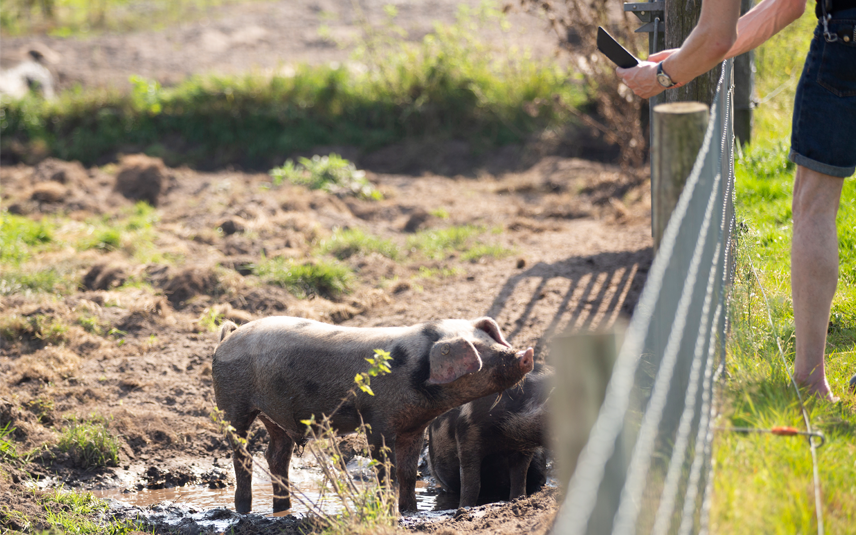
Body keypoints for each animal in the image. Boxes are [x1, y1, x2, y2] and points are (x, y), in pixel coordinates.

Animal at [211, 318, 532, 516]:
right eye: (481, 352)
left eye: (493, 343)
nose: (525, 353)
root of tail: (228, 337)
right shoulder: (377, 420)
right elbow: (384, 469)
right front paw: (389, 510)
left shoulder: (414, 426)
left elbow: (406, 472)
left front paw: (410, 511)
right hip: (232, 403)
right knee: (241, 454)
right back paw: (243, 510)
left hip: (274, 416)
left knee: (276, 455)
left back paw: (282, 509)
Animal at [426, 366, 552, 508]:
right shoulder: (468, 430)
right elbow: (472, 482)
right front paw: (464, 507)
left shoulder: (524, 448)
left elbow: (519, 478)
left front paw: (518, 499)